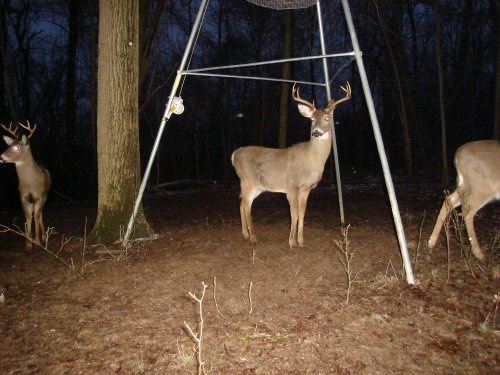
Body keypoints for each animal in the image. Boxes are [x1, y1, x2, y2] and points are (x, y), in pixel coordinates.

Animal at [1, 121, 51, 250]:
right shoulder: (23, 197)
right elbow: (28, 216)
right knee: (35, 213)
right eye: (9, 146)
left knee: (40, 213)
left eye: (17, 147)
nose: (1, 157)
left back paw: (43, 236)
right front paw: (28, 243)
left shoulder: (39, 196)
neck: (30, 183)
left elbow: (36, 216)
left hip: (45, 195)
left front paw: (37, 242)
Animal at [231, 81, 352, 248]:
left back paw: (245, 234)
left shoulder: (307, 188)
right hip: (248, 180)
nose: (316, 133)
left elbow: (301, 214)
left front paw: (301, 240)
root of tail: (234, 155)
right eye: (312, 119)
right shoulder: (291, 185)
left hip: (255, 185)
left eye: (327, 118)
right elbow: (293, 214)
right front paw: (291, 242)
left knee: (241, 201)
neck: (311, 160)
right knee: (246, 204)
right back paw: (253, 238)